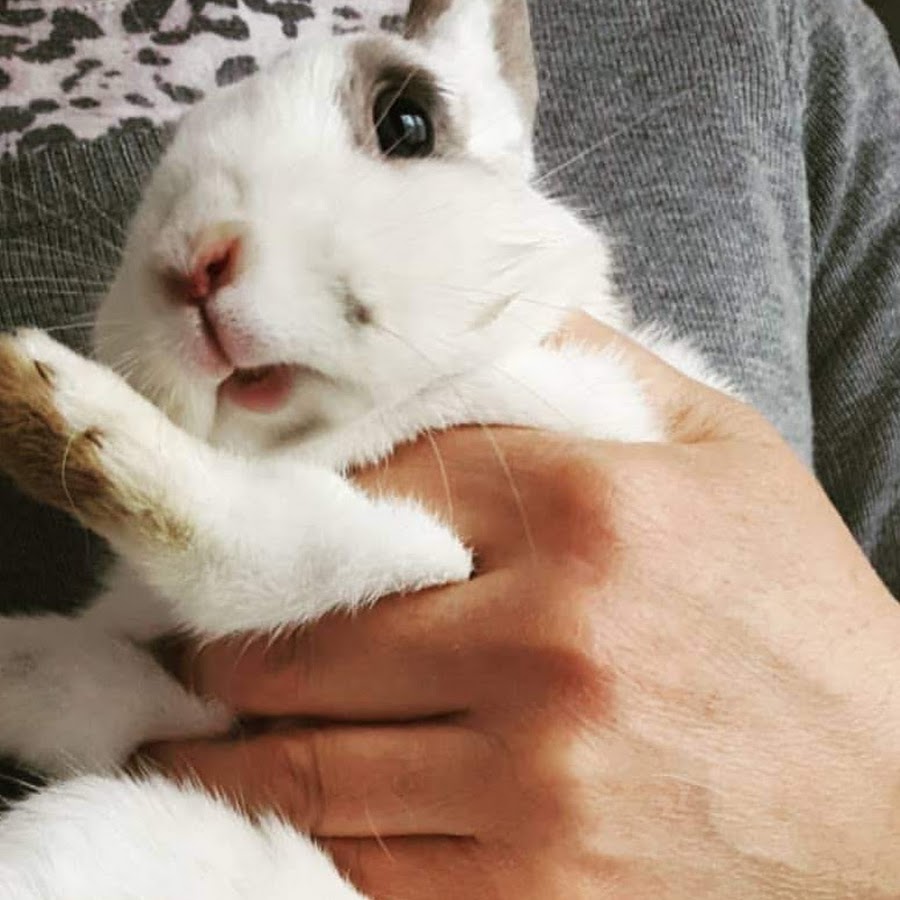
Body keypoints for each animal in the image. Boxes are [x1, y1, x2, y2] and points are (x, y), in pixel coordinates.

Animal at [0, 1, 724, 896]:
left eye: (406, 121)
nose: (192, 263)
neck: (329, 432)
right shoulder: (151, 698)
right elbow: (70, 674)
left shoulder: (439, 547)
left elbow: (278, 541)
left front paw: (56, 405)